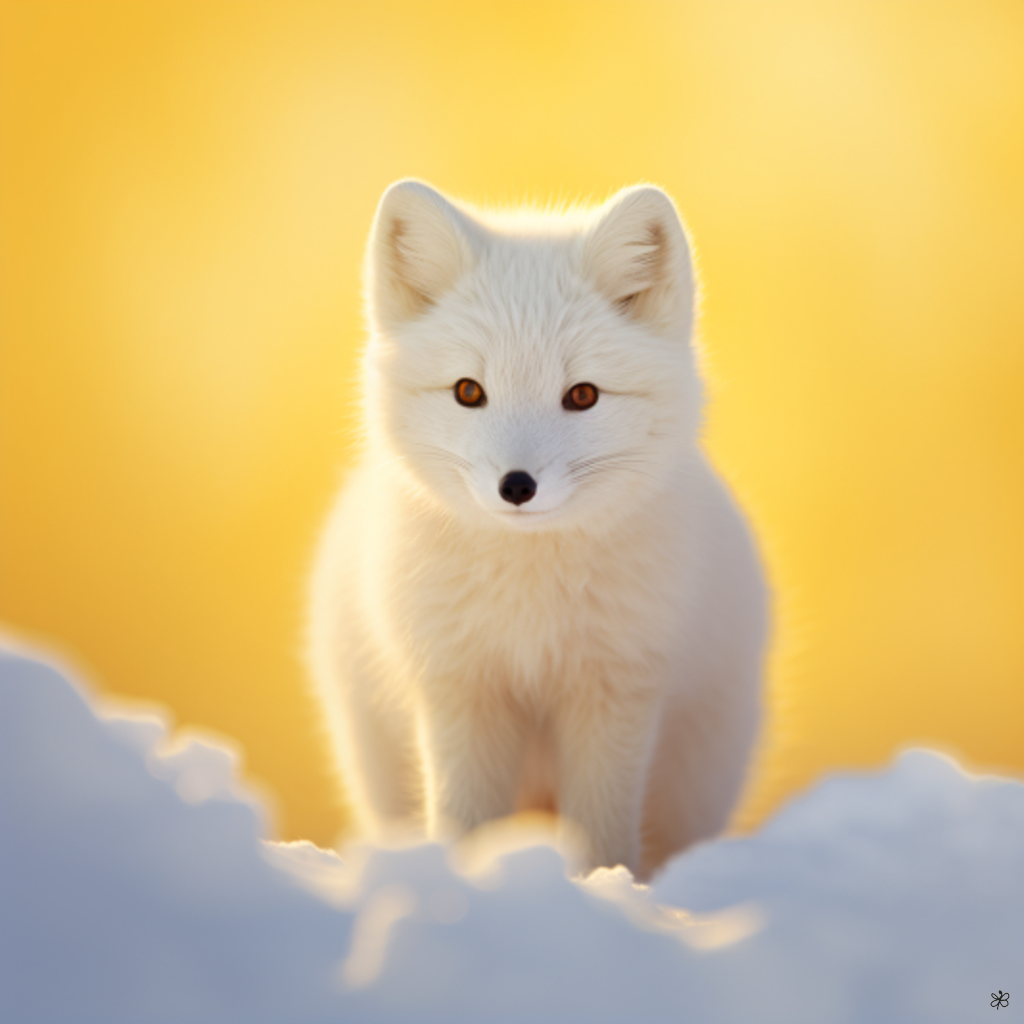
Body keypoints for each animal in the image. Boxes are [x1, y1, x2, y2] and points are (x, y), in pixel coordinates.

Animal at [308, 180, 768, 880]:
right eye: (468, 391)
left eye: (582, 396)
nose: (516, 486)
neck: (530, 613)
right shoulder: (460, 690)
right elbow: (464, 819)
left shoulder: (615, 691)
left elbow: (603, 830)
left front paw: (603, 886)